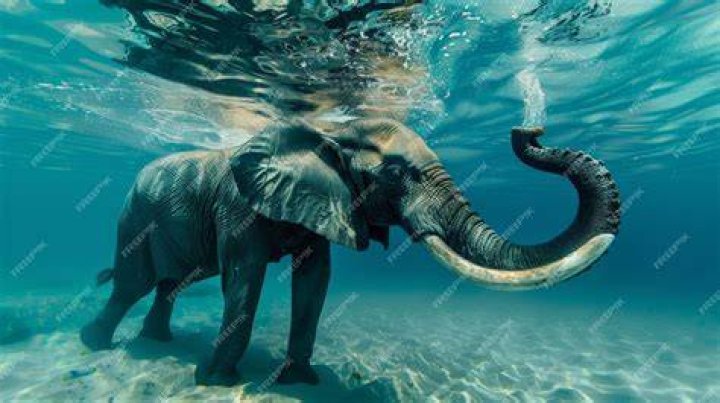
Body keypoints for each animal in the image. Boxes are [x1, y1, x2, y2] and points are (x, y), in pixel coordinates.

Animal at [80, 118, 620, 386]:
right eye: (399, 174)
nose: (531, 132)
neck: (326, 132)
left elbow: (316, 279)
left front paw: (301, 382)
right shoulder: (239, 205)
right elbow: (245, 279)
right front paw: (214, 381)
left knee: (168, 286)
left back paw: (156, 342)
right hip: (132, 218)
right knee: (132, 284)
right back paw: (97, 344)